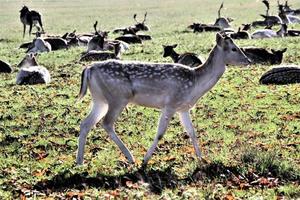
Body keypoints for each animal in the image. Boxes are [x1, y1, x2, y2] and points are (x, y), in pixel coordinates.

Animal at [75, 33, 251, 166]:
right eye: (234, 48)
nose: (248, 60)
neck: (195, 83)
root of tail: (89, 68)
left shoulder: (183, 108)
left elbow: (192, 132)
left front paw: (202, 159)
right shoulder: (170, 104)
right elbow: (160, 133)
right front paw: (146, 160)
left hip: (100, 100)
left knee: (86, 123)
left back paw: (80, 162)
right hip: (117, 98)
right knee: (106, 123)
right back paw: (131, 158)